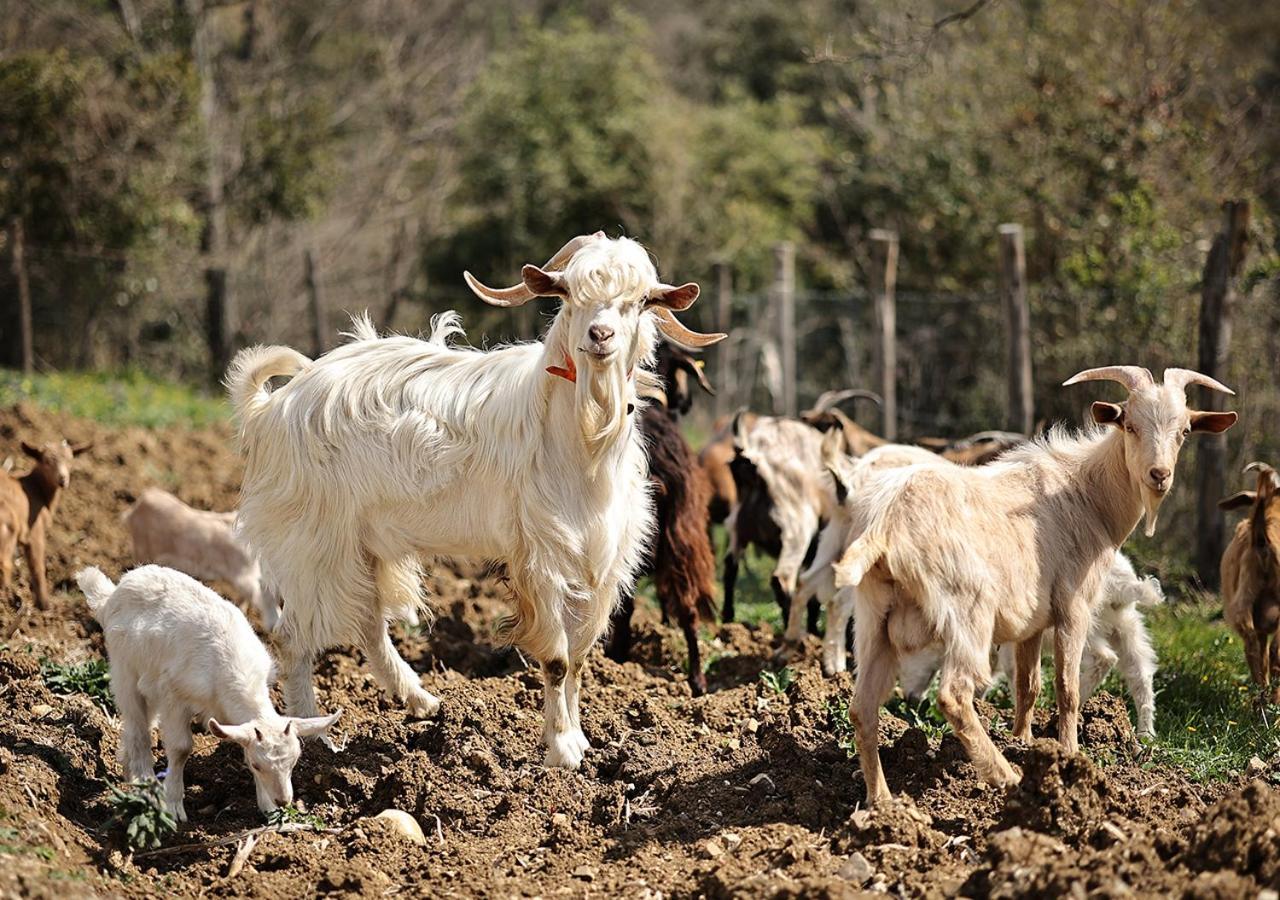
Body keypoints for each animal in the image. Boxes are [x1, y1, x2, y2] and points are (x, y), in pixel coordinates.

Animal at [0, 437, 91, 627]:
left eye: (70, 459)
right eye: (46, 461)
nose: (63, 479)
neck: (35, 488)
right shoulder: (34, 530)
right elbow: (37, 567)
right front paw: (45, 606)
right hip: (7, 529)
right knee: (4, 563)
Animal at [606, 345, 721, 696]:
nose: (687, 402)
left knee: (626, 603)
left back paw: (617, 655)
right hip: (684, 534)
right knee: (688, 607)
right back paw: (697, 681)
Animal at [1213, 466, 1280, 706]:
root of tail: (1260, 539)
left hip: (1243, 602)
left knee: (1253, 646)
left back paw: (1261, 696)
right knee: (1274, 653)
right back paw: (1270, 699)